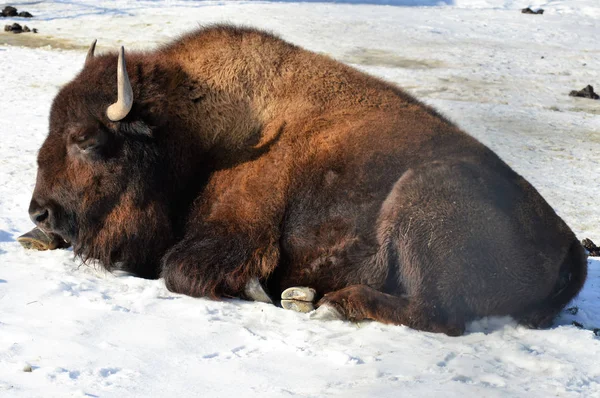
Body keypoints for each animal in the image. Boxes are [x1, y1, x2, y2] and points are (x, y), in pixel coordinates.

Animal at [28, 25, 584, 336]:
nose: (40, 211)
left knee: (438, 315)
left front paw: (259, 291)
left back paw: (328, 304)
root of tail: (569, 247)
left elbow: (178, 270)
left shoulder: (238, 234)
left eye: (86, 138)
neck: (196, 126)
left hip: (418, 201)